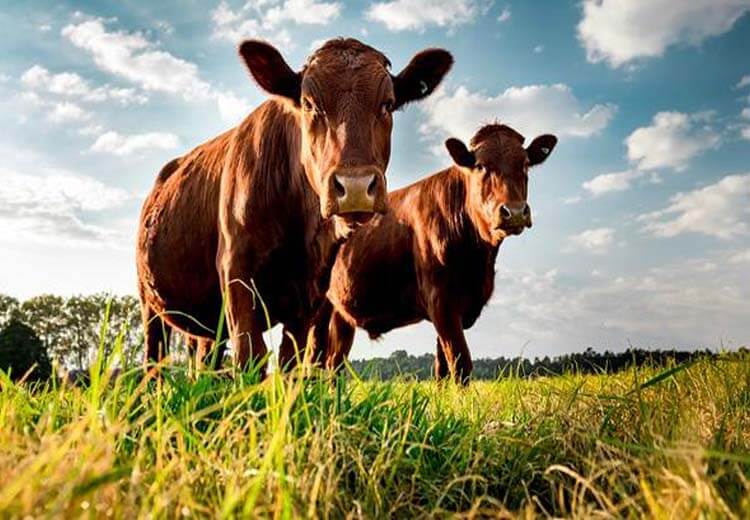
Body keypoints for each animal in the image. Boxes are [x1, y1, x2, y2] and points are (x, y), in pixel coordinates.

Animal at [136, 38, 453, 376]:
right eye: (309, 104)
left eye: (388, 104)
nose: (355, 187)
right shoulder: (235, 271)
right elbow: (251, 354)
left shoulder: (309, 294)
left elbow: (291, 360)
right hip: (149, 301)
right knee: (154, 357)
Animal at [311, 124, 557, 384]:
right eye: (481, 165)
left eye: (525, 163)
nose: (515, 211)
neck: (478, 261)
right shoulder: (441, 300)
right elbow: (460, 364)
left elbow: (442, 368)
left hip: (341, 313)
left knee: (334, 362)